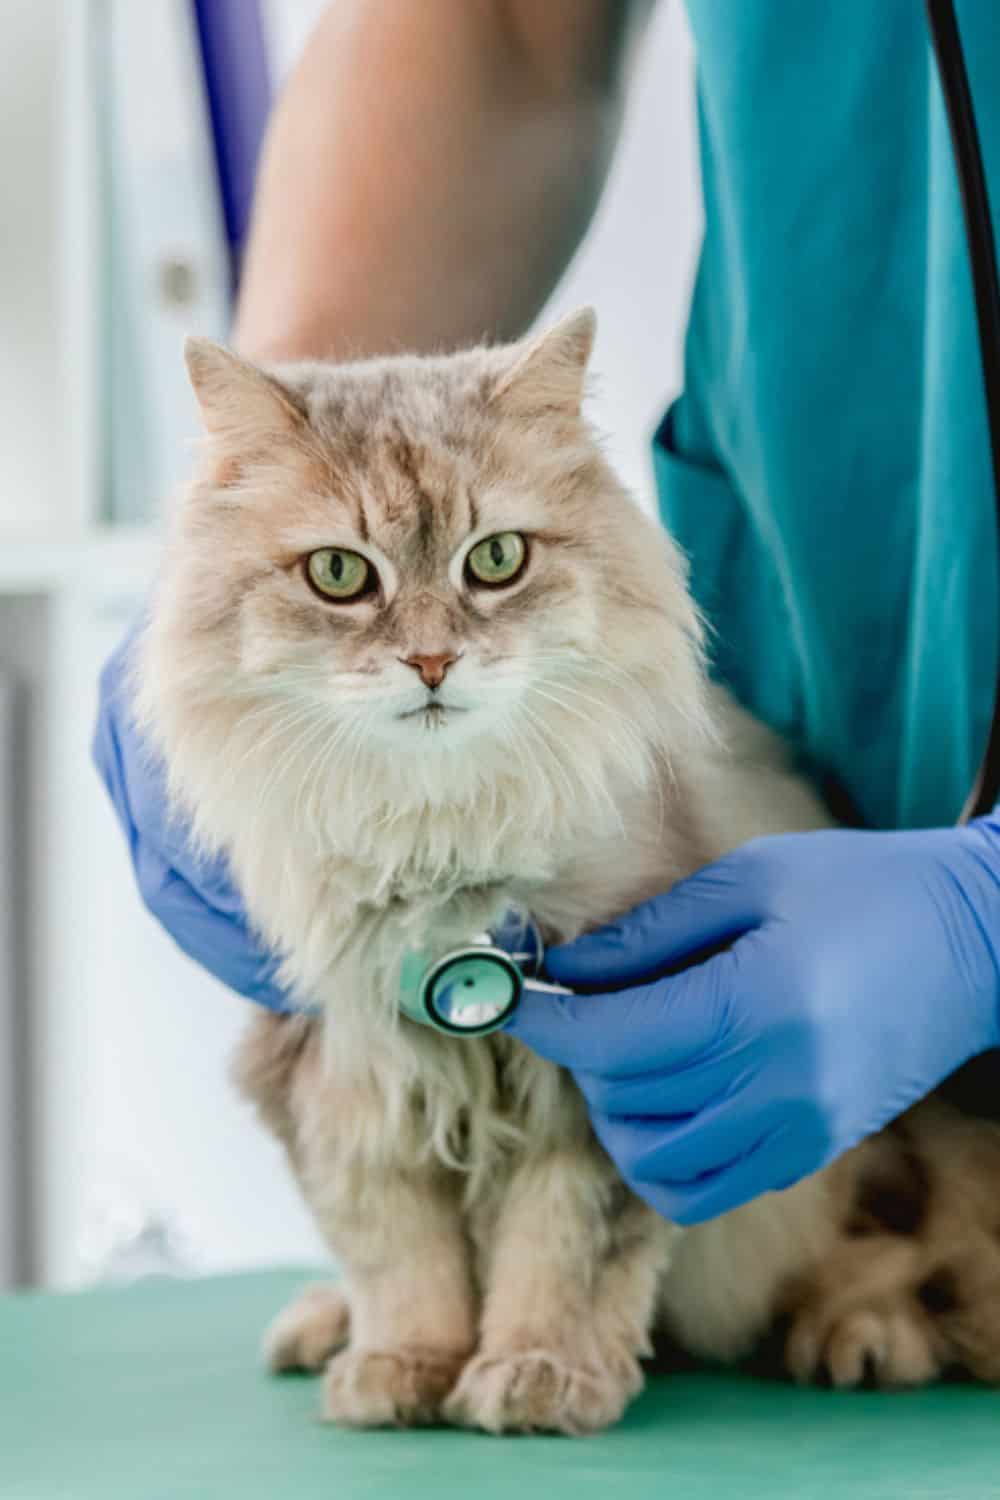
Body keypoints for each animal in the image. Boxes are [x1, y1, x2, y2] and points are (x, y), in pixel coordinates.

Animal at [137, 301, 1000, 1428]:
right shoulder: (340, 1076)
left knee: (910, 1262)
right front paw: (402, 1368)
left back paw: (857, 1336)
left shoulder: (606, 1088)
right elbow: (399, 1257)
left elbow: (563, 1253)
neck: (437, 845)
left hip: (884, 1152)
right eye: (339, 575)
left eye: (495, 559)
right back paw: (324, 1326)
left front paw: (537, 1374)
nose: (430, 662)